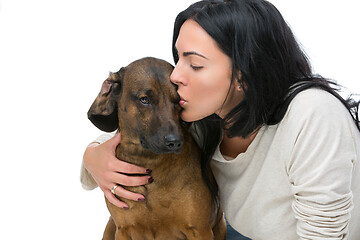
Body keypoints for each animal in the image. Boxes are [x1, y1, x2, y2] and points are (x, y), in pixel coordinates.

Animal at [88, 57, 225, 239]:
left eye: (179, 101)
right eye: (144, 99)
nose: (175, 141)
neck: (150, 161)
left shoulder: (199, 230)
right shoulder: (123, 230)